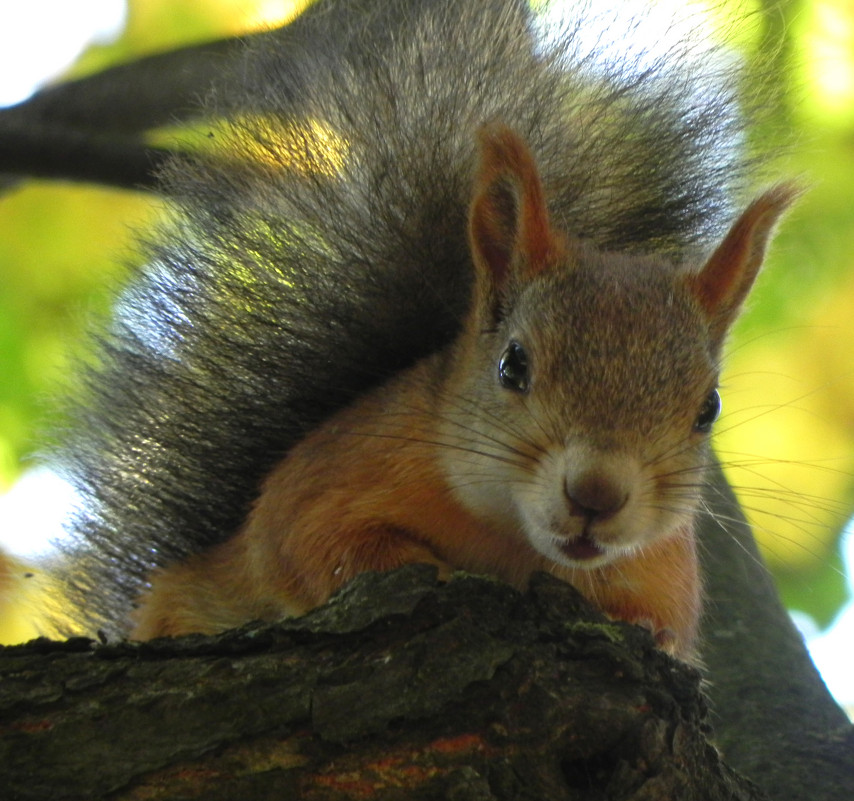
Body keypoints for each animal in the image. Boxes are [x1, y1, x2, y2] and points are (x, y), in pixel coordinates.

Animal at [55, 0, 796, 664]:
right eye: (512, 365)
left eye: (708, 408)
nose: (596, 494)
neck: (510, 538)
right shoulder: (327, 480)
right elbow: (311, 547)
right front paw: (428, 569)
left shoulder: (663, 568)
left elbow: (663, 622)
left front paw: (649, 631)